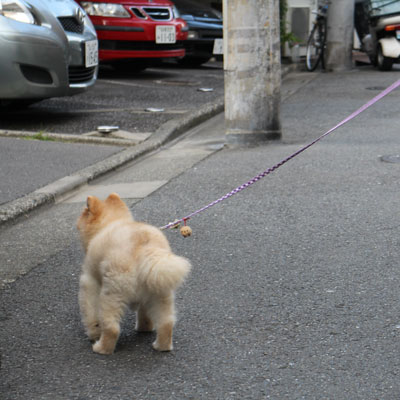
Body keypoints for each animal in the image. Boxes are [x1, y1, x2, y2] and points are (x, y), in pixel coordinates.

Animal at [77, 193, 192, 354]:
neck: (111, 222)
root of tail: (145, 248)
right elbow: (144, 313)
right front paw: (145, 327)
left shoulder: (90, 281)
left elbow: (90, 313)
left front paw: (93, 333)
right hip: (159, 288)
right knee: (166, 322)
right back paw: (160, 346)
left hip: (112, 293)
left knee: (111, 327)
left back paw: (101, 348)